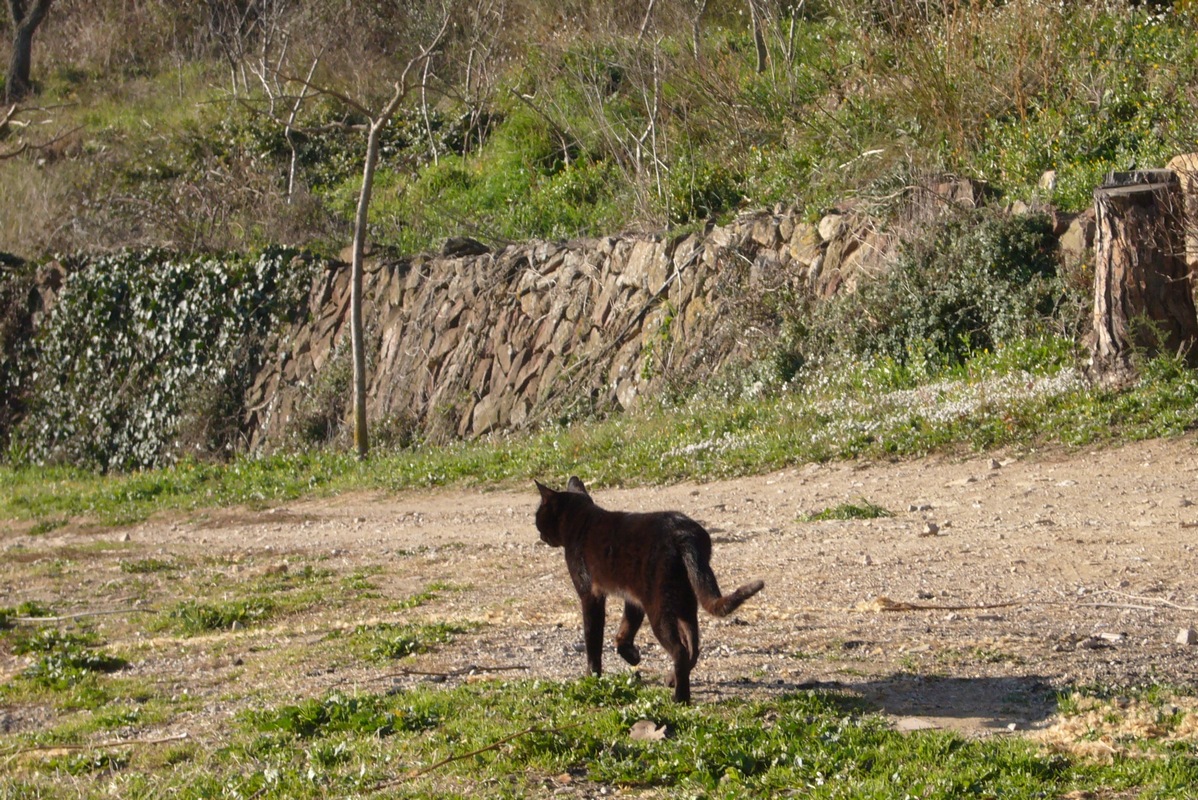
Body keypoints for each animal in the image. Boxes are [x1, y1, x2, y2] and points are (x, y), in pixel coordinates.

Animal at [534, 476, 764, 702]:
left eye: (538, 516)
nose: (539, 533)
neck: (580, 522)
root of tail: (684, 535)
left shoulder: (590, 595)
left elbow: (593, 639)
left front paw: (592, 677)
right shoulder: (633, 598)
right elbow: (626, 629)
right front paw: (632, 656)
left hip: (659, 608)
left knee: (680, 651)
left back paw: (680, 699)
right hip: (685, 603)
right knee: (693, 648)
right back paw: (673, 679)